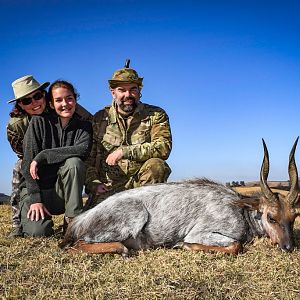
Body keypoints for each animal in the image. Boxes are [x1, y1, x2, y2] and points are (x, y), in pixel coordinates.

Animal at [59, 138, 300, 255]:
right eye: (271, 217)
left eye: (294, 217)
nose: (289, 247)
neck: (241, 210)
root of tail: (79, 221)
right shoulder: (200, 233)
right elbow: (235, 246)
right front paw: (183, 246)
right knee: (75, 245)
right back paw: (124, 249)